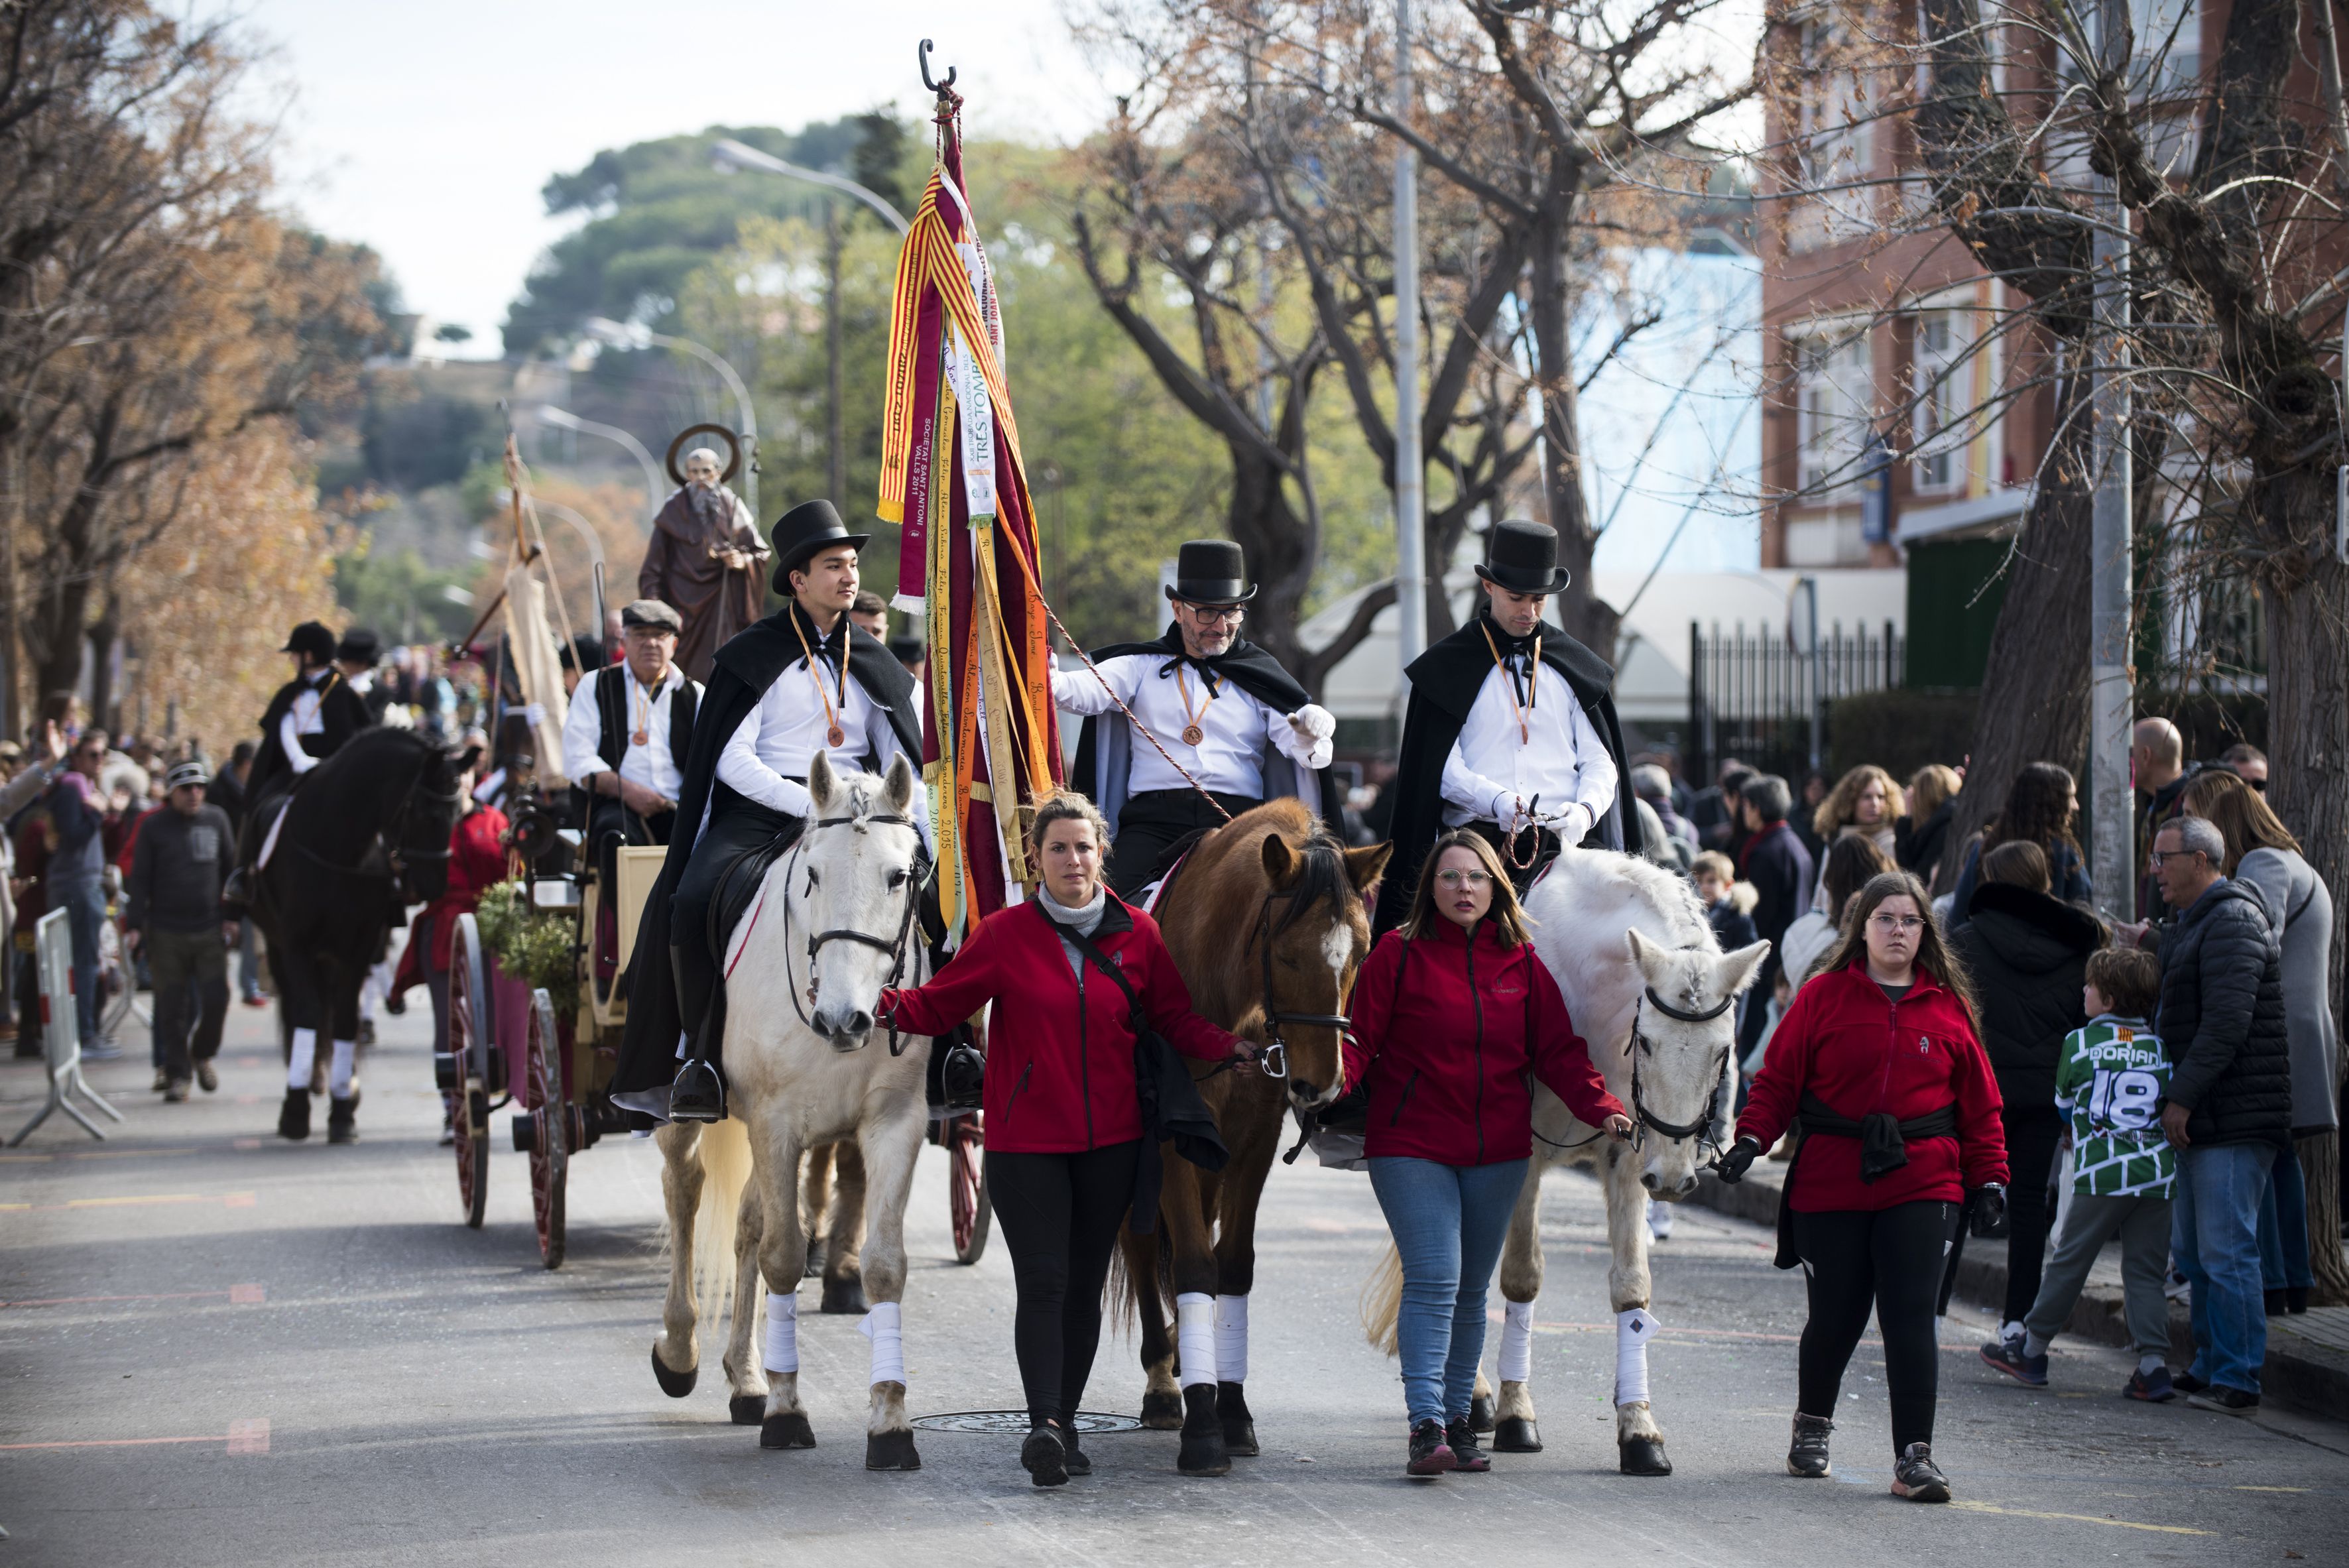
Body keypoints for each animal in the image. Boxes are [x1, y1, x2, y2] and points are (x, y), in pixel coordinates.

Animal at [652, 756, 935, 1474]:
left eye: (900, 875)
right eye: (812, 874)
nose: (844, 1020)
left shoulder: (894, 1123)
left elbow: (884, 1265)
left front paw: (890, 1421)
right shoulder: (776, 1123)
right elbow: (782, 1256)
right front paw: (787, 1412)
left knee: (748, 1219)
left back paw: (746, 1376)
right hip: (692, 1109)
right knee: (685, 1187)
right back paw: (681, 1349)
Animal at [1122, 802, 1390, 1474]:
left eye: (1360, 951)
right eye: (1287, 954)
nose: (1321, 1084)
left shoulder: (1253, 1143)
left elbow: (1232, 1264)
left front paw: (1232, 1409)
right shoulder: (1170, 1142)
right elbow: (1193, 1261)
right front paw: (1202, 1427)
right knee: (1143, 1246)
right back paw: (1163, 1380)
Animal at [1362, 845, 1766, 1474]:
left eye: (1723, 1049)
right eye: (1646, 1042)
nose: (1674, 1177)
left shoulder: (1629, 1155)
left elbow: (1631, 1287)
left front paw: (1639, 1428)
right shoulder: (1520, 1158)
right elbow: (1519, 1277)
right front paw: (1515, 1415)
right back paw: (1475, 1397)